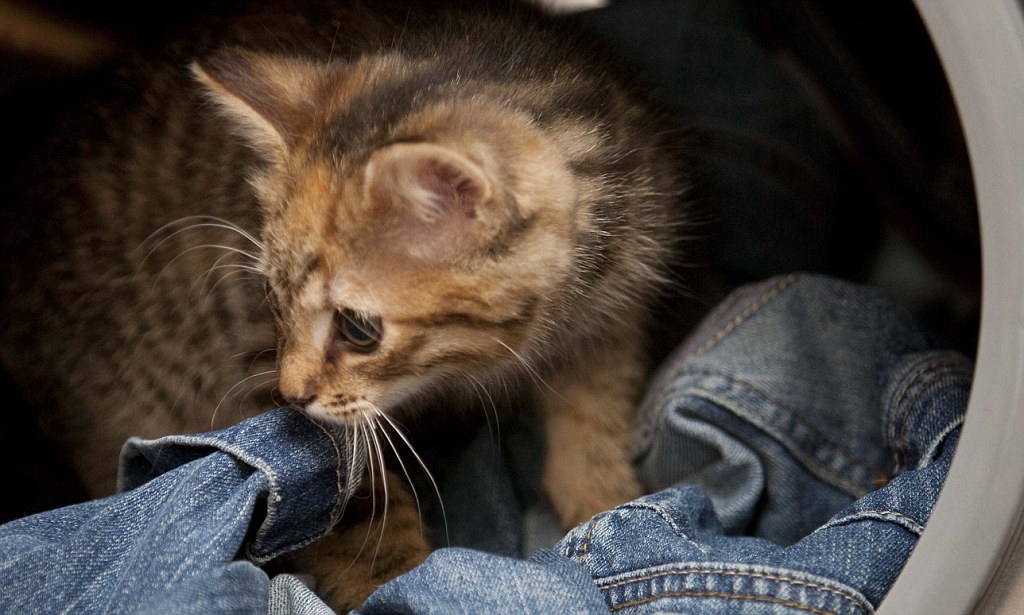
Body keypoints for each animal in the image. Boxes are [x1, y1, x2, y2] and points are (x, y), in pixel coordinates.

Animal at [2, 0, 688, 605]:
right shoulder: (254, 363)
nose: (292, 393)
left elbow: (594, 416)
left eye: (358, 330)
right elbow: (351, 503)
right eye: (269, 295)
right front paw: (396, 582)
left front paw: (608, 502)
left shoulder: (612, 313)